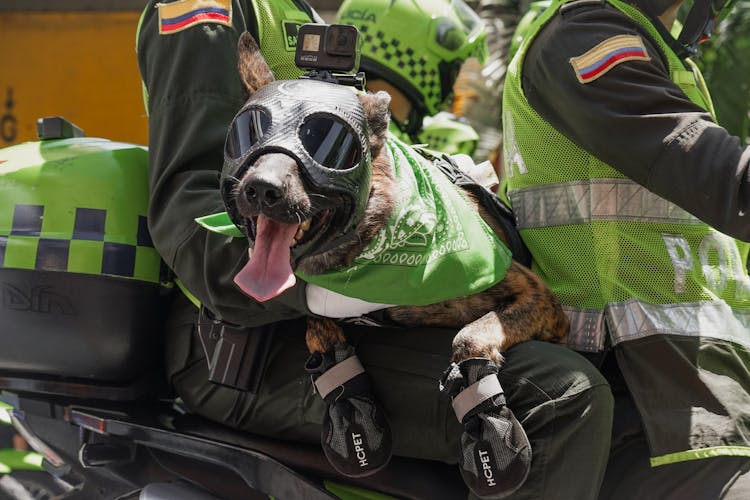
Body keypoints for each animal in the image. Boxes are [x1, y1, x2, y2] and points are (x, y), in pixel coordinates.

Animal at [222, 32, 568, 500]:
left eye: (326, 141)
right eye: (248, 137)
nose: (261, 189)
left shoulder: (542, 300)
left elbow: (469, 336)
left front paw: (489, 426)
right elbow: (316, 321)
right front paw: (345, 389)